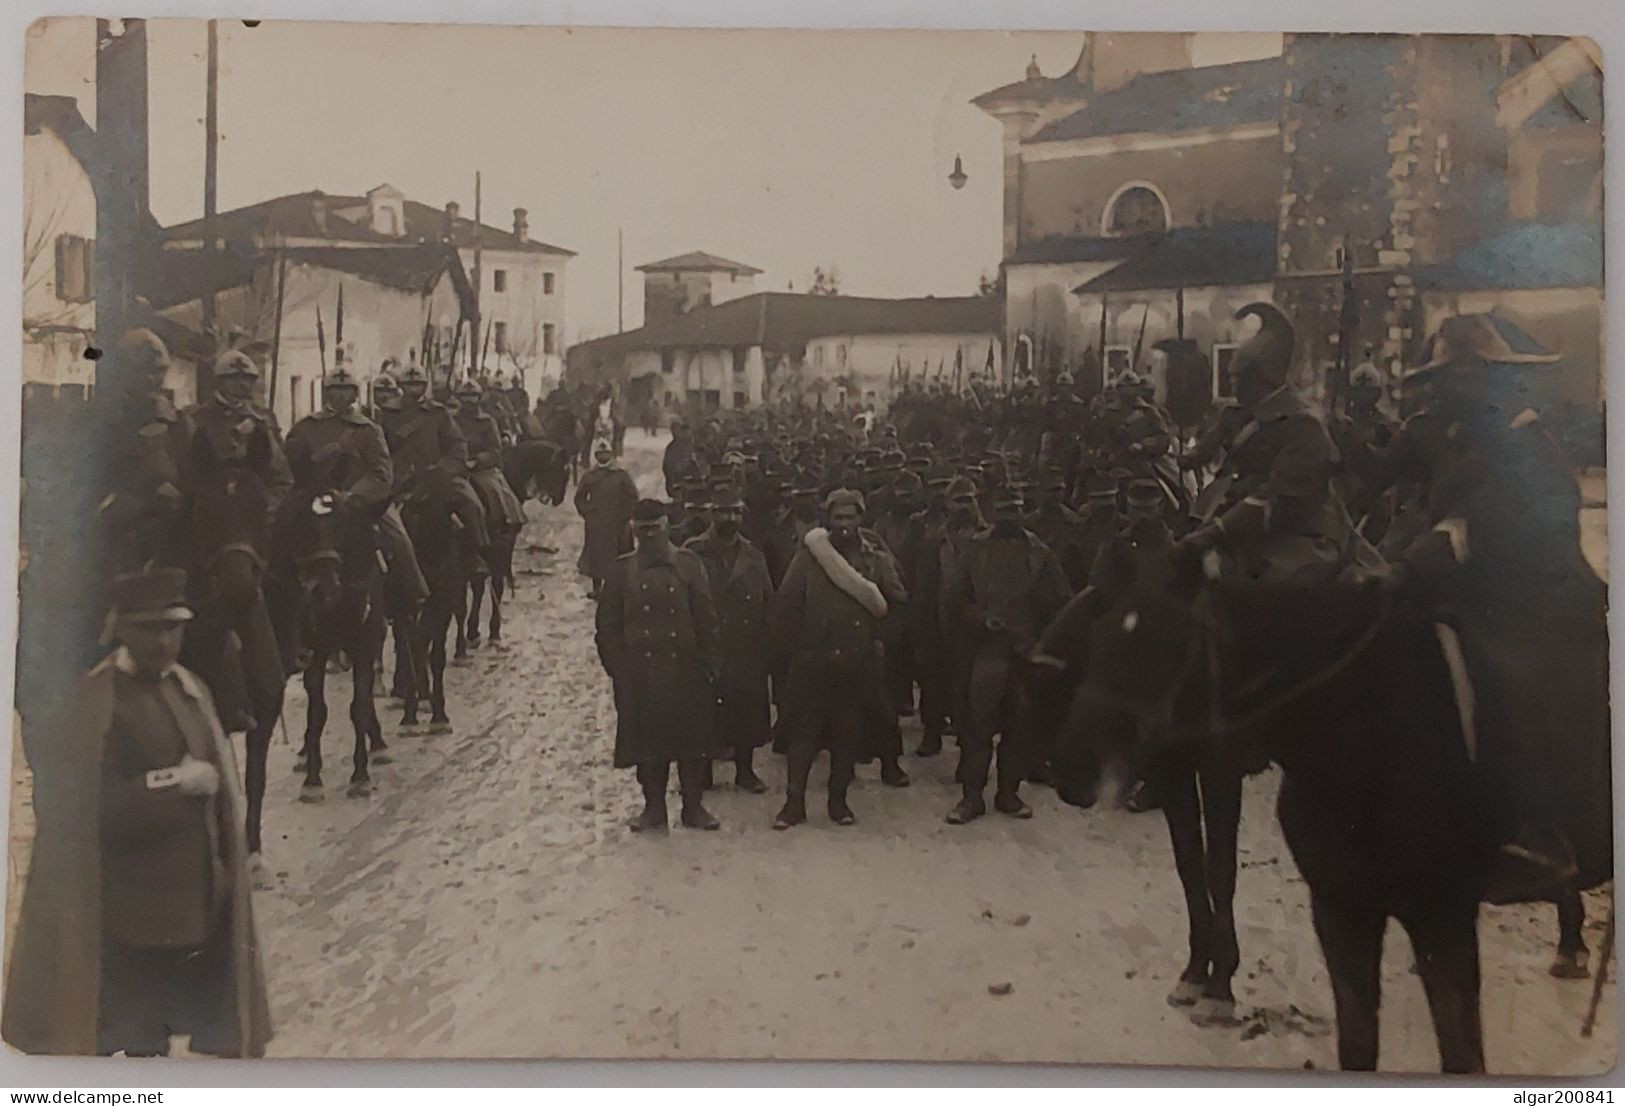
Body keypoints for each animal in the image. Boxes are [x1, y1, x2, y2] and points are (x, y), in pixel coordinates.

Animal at [282, 490, 390, 792]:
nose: (324, 589)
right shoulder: (314, 654)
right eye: (306, 529)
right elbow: (317, 710)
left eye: (342, 527)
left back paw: (378, 742)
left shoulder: (364, 648)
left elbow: (359, 706)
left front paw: (360, 774)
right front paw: (312, 776)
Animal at [396, 467, 468, 734]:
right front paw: (409, 712)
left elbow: (435, 656)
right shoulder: (403, 610)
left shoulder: (443, 605)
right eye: (410, 512)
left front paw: (439, 714)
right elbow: (410, 650)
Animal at [1053, 561, 1612, 1071]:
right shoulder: (1341, 909)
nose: (1069, 769)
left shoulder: (1442, 917)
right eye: (1099, 638)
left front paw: (1214, 984)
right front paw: (1202, 977)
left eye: (1159, 645)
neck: (1364, 734)